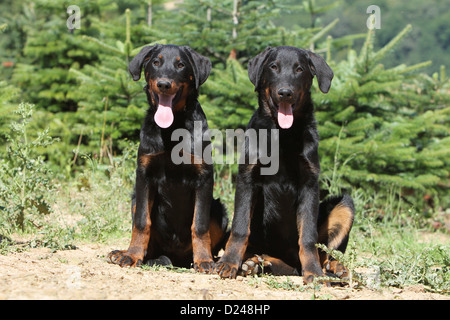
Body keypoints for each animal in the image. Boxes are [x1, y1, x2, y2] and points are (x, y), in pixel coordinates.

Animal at [108, 43, 229, 272]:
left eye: (180, 65)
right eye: (156, 62)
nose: (164, 84)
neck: (172, 128)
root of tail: (175, 257)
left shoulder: (204, 177)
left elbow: (199, 225)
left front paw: (204, 260)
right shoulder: (145, 174)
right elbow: (141, 222)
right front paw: (132, 255)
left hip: (219, 210)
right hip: (135, 199)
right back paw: (128, 253)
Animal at [215, 47, 356, 282]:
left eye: (300, 69)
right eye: (273, 67)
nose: (285, 92)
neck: (283, 135)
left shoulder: (309, 184)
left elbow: (308, 238)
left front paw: (313, 272)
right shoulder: (247, 178)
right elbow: (240, 228)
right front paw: (229, 262)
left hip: (344, 205)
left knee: (323, 252)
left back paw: (333, 267)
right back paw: (254, 263)